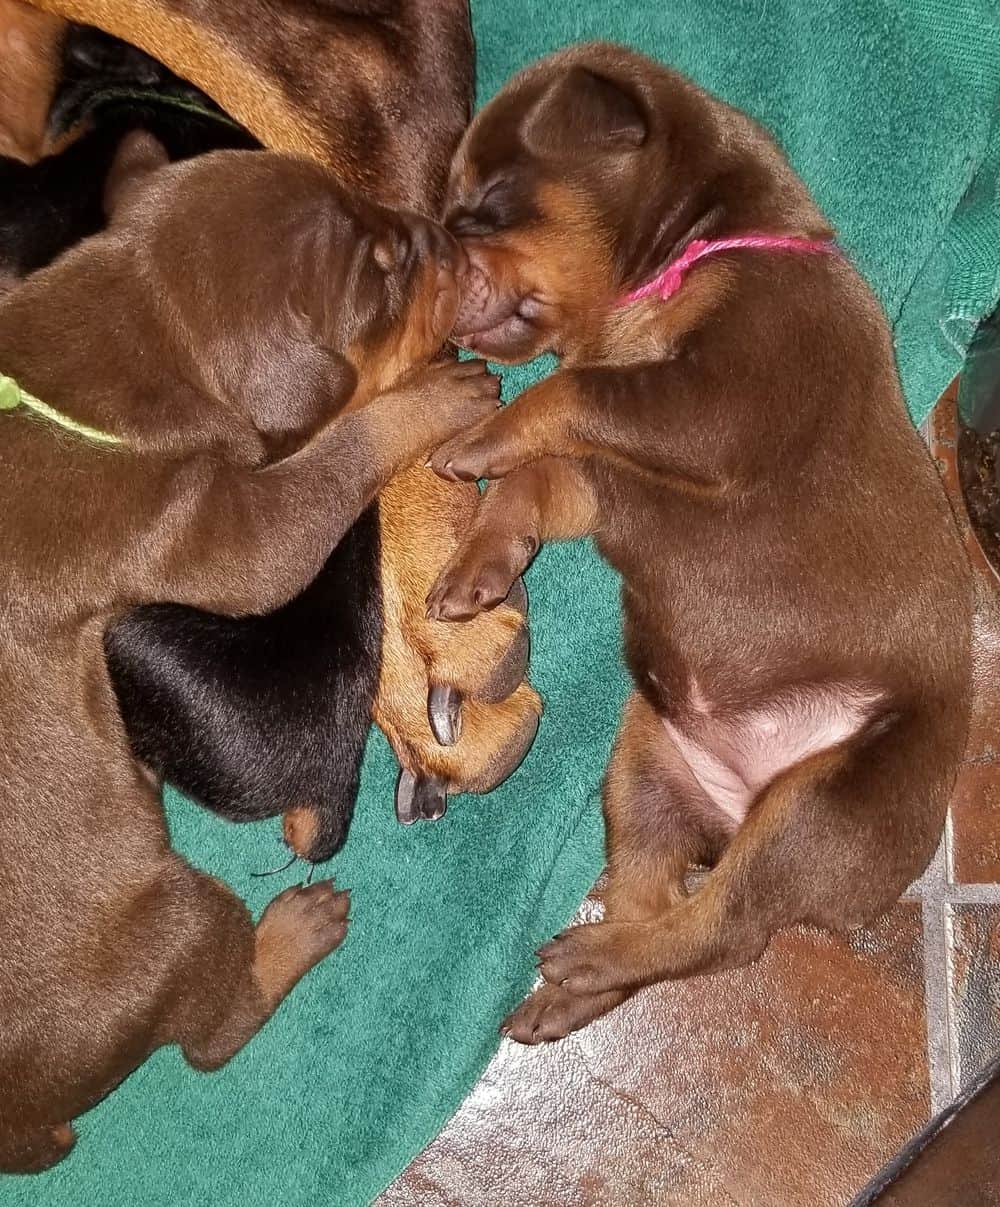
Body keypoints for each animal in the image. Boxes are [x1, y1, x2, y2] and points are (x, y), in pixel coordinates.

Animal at [0, 141, 496, 1168]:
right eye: (388, 269)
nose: (451, 235)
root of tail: (24, 1124)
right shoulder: (220, 528)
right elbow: (336, 460)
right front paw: (434, 396)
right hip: (177, 920)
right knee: (210, 1038)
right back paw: (293, 931)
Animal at [424, 42, 969, 1042]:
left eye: (483, 206)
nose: (426, 272)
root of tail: (735, 806)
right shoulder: (608, 470)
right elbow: (537, 475)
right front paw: (477, 568)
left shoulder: (720, 400)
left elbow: (565, 400)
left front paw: (476, 438)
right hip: (645, 758)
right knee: (654, 895)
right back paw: (570, 988)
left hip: (824, 805)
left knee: (726, 930)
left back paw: (587, 959)